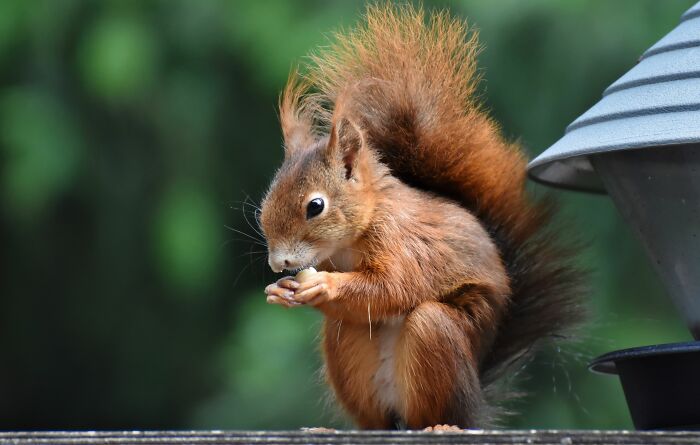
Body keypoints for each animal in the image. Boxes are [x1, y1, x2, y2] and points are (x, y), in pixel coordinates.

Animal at [259, 3, 584, 429]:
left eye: (315, 206)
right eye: (267, 199)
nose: (278, 262)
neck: (350, 242)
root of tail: (476, 401)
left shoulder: (403, 242)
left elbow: (392, 287)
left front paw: (324, 286)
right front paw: (280, 291)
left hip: (439, 337)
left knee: (435, 365)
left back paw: (443, 424)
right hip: (346, 344)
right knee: (374, 414)